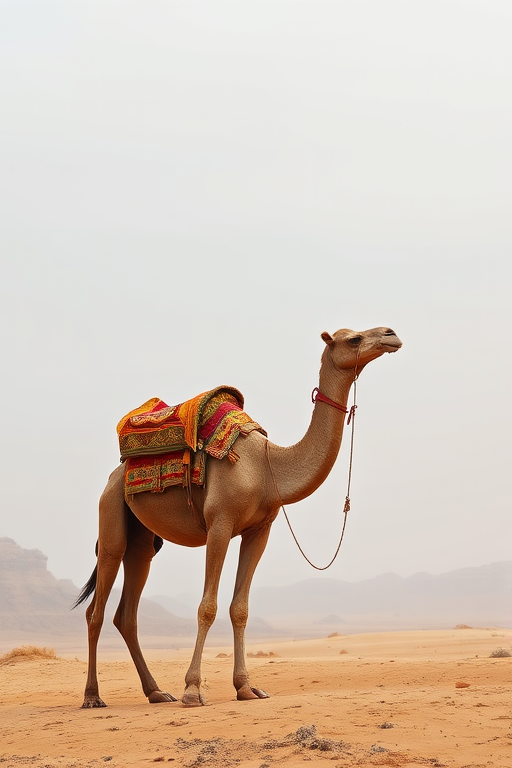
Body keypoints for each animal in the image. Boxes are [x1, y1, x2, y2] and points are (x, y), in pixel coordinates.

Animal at [75, 326, 401, 708]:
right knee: (96, 608)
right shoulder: (220, 523)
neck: (267, 467)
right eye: (353, 339)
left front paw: (246, 687)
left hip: (143, 540)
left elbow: (239, 608)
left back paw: (156, 692)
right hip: (111, 511)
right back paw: (93, 696)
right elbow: (208, 606)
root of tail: (116, 473)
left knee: (127, 611)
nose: (391, 335)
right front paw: (192, 690)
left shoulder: (260, 529)